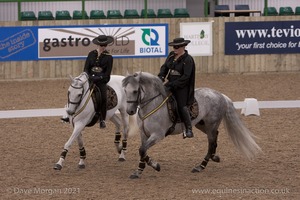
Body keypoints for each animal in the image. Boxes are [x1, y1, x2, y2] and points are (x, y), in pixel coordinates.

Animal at [121, 71, 260, 178]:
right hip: (201, 124)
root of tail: (220, 95)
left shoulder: (157, 135)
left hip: (211, 124)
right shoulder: (144, 134)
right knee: (215, 136)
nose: (130, 111)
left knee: (211, 143)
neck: (151, 105)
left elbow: (142, 150)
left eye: (135, 91)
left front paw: (156, 166)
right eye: (125, 91)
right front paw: (138, 172)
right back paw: (214, 157)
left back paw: (200, 166)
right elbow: (142, 151)